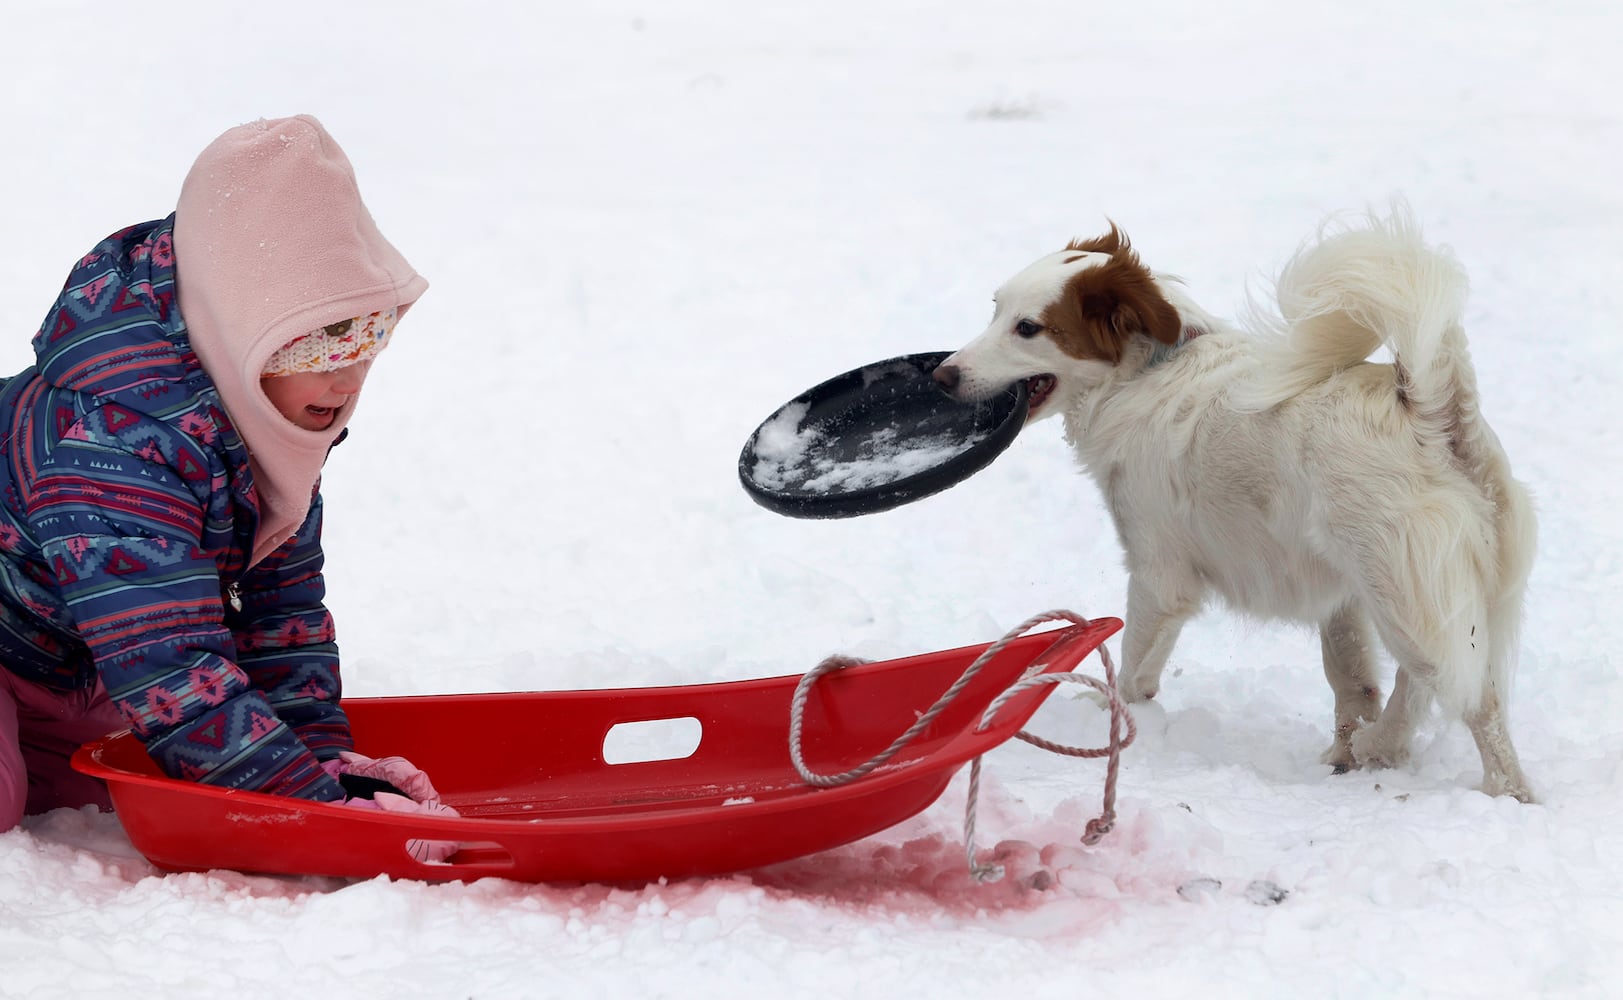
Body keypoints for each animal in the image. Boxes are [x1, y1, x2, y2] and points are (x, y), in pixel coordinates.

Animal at [941, 206, 1532, 801]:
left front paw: (1110, 716)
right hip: (1412, 592)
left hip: (1403, 595)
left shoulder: (1158, 575)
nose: (943, 374)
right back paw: (1383, 745)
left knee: (1476, 701)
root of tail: (1426, 409)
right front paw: (1346, 754)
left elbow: (1134, 668)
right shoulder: (1339, 596)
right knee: (1429, 682)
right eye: (995, 310)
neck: (1146, 372)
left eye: (1028, 328)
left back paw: (1502, 792)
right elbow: (1351, 681)